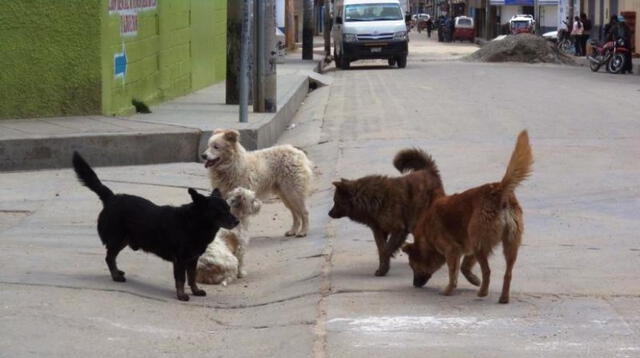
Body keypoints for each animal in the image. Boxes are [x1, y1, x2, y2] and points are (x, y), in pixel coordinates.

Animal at [72, 152, 238, 300]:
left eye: (229, 208)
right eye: (219, 212)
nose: (237, 222)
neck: (194, 223)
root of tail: (112, 197)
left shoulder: (192, 260)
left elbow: (192, 277)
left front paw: (196, 291)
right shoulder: (180, 260)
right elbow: (181, 279)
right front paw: (181, 295)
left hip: (124, 240)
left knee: (112, 257)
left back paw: (117, 272)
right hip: (117, 239)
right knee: (109, 257)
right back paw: (115, 276)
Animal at [330, 148, 444, 276]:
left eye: (336, 201)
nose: (329, 213)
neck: (371, 199)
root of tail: (428, 170)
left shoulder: (398, 229)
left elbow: (386, 250)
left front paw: (384, 267)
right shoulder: (379, 231)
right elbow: (381, 249)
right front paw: (383, 268)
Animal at [402, 130, 532, 304]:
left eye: (412, 266)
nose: (415, 284)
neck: (426, 236)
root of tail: (499, 190)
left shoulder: (452, 250)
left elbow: (454, 273)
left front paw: (448, 290)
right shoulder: (470, 246)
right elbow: (465, 266)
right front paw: (474, 279)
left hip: (480, 244)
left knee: (488, 271)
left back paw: (483, 292)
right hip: (508, 245)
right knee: (508, 273)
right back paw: (503, 298)